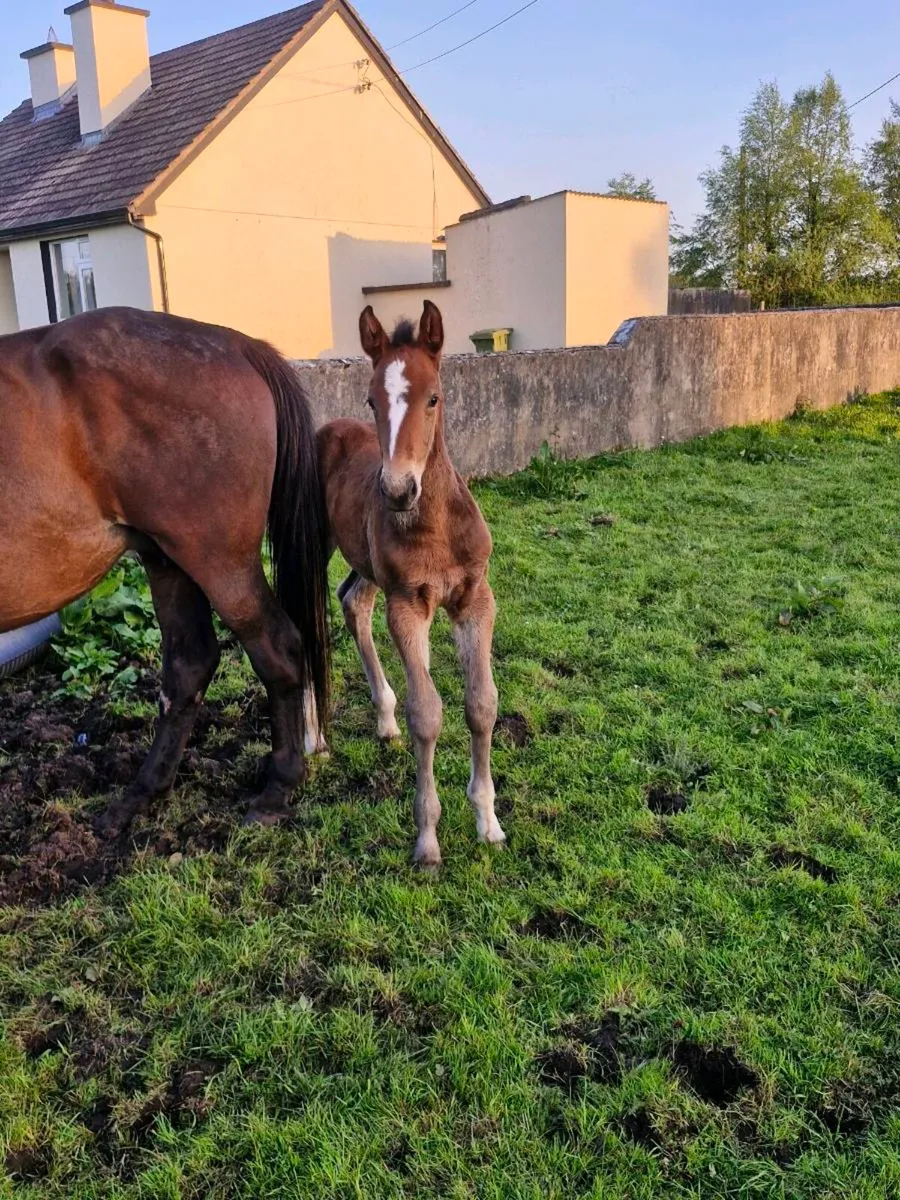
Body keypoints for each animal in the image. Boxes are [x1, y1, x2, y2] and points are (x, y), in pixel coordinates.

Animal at [0, 306, 329, 834]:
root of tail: (238, 345)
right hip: (167, 560)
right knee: (189, 665)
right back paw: (141, 794)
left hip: (217, 561)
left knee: (276, 648)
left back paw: (277, 787)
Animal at [311, 300, 506, 868]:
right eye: (371, 399)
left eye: (433, 397)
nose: (398, 491)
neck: (435, 526)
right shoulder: (407, 606)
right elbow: (429, 713)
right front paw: (427, 839)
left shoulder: (474, 598)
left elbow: (481, 704)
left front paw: (488, 821)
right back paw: (313, 738)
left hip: (366, 564)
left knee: (352, 601)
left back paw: (384, 719)